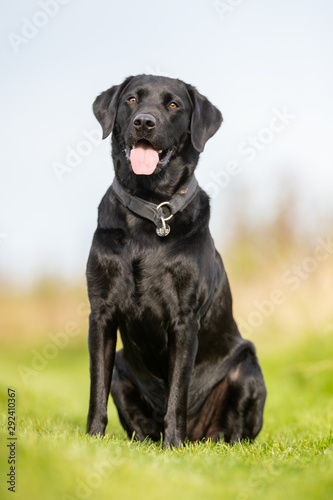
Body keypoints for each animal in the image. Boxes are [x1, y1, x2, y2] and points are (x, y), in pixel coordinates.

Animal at [85, 72, 264, 448]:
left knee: (236, 432)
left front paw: (173, 445)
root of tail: (201, 436)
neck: (150, 210)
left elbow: (178, 391)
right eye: (132, 100)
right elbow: (97, 386)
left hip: (247, 364)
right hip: (122, 366)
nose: (144, 122)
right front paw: (92, 439)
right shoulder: (101, 313)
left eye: (173, 105)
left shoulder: (184, 320)